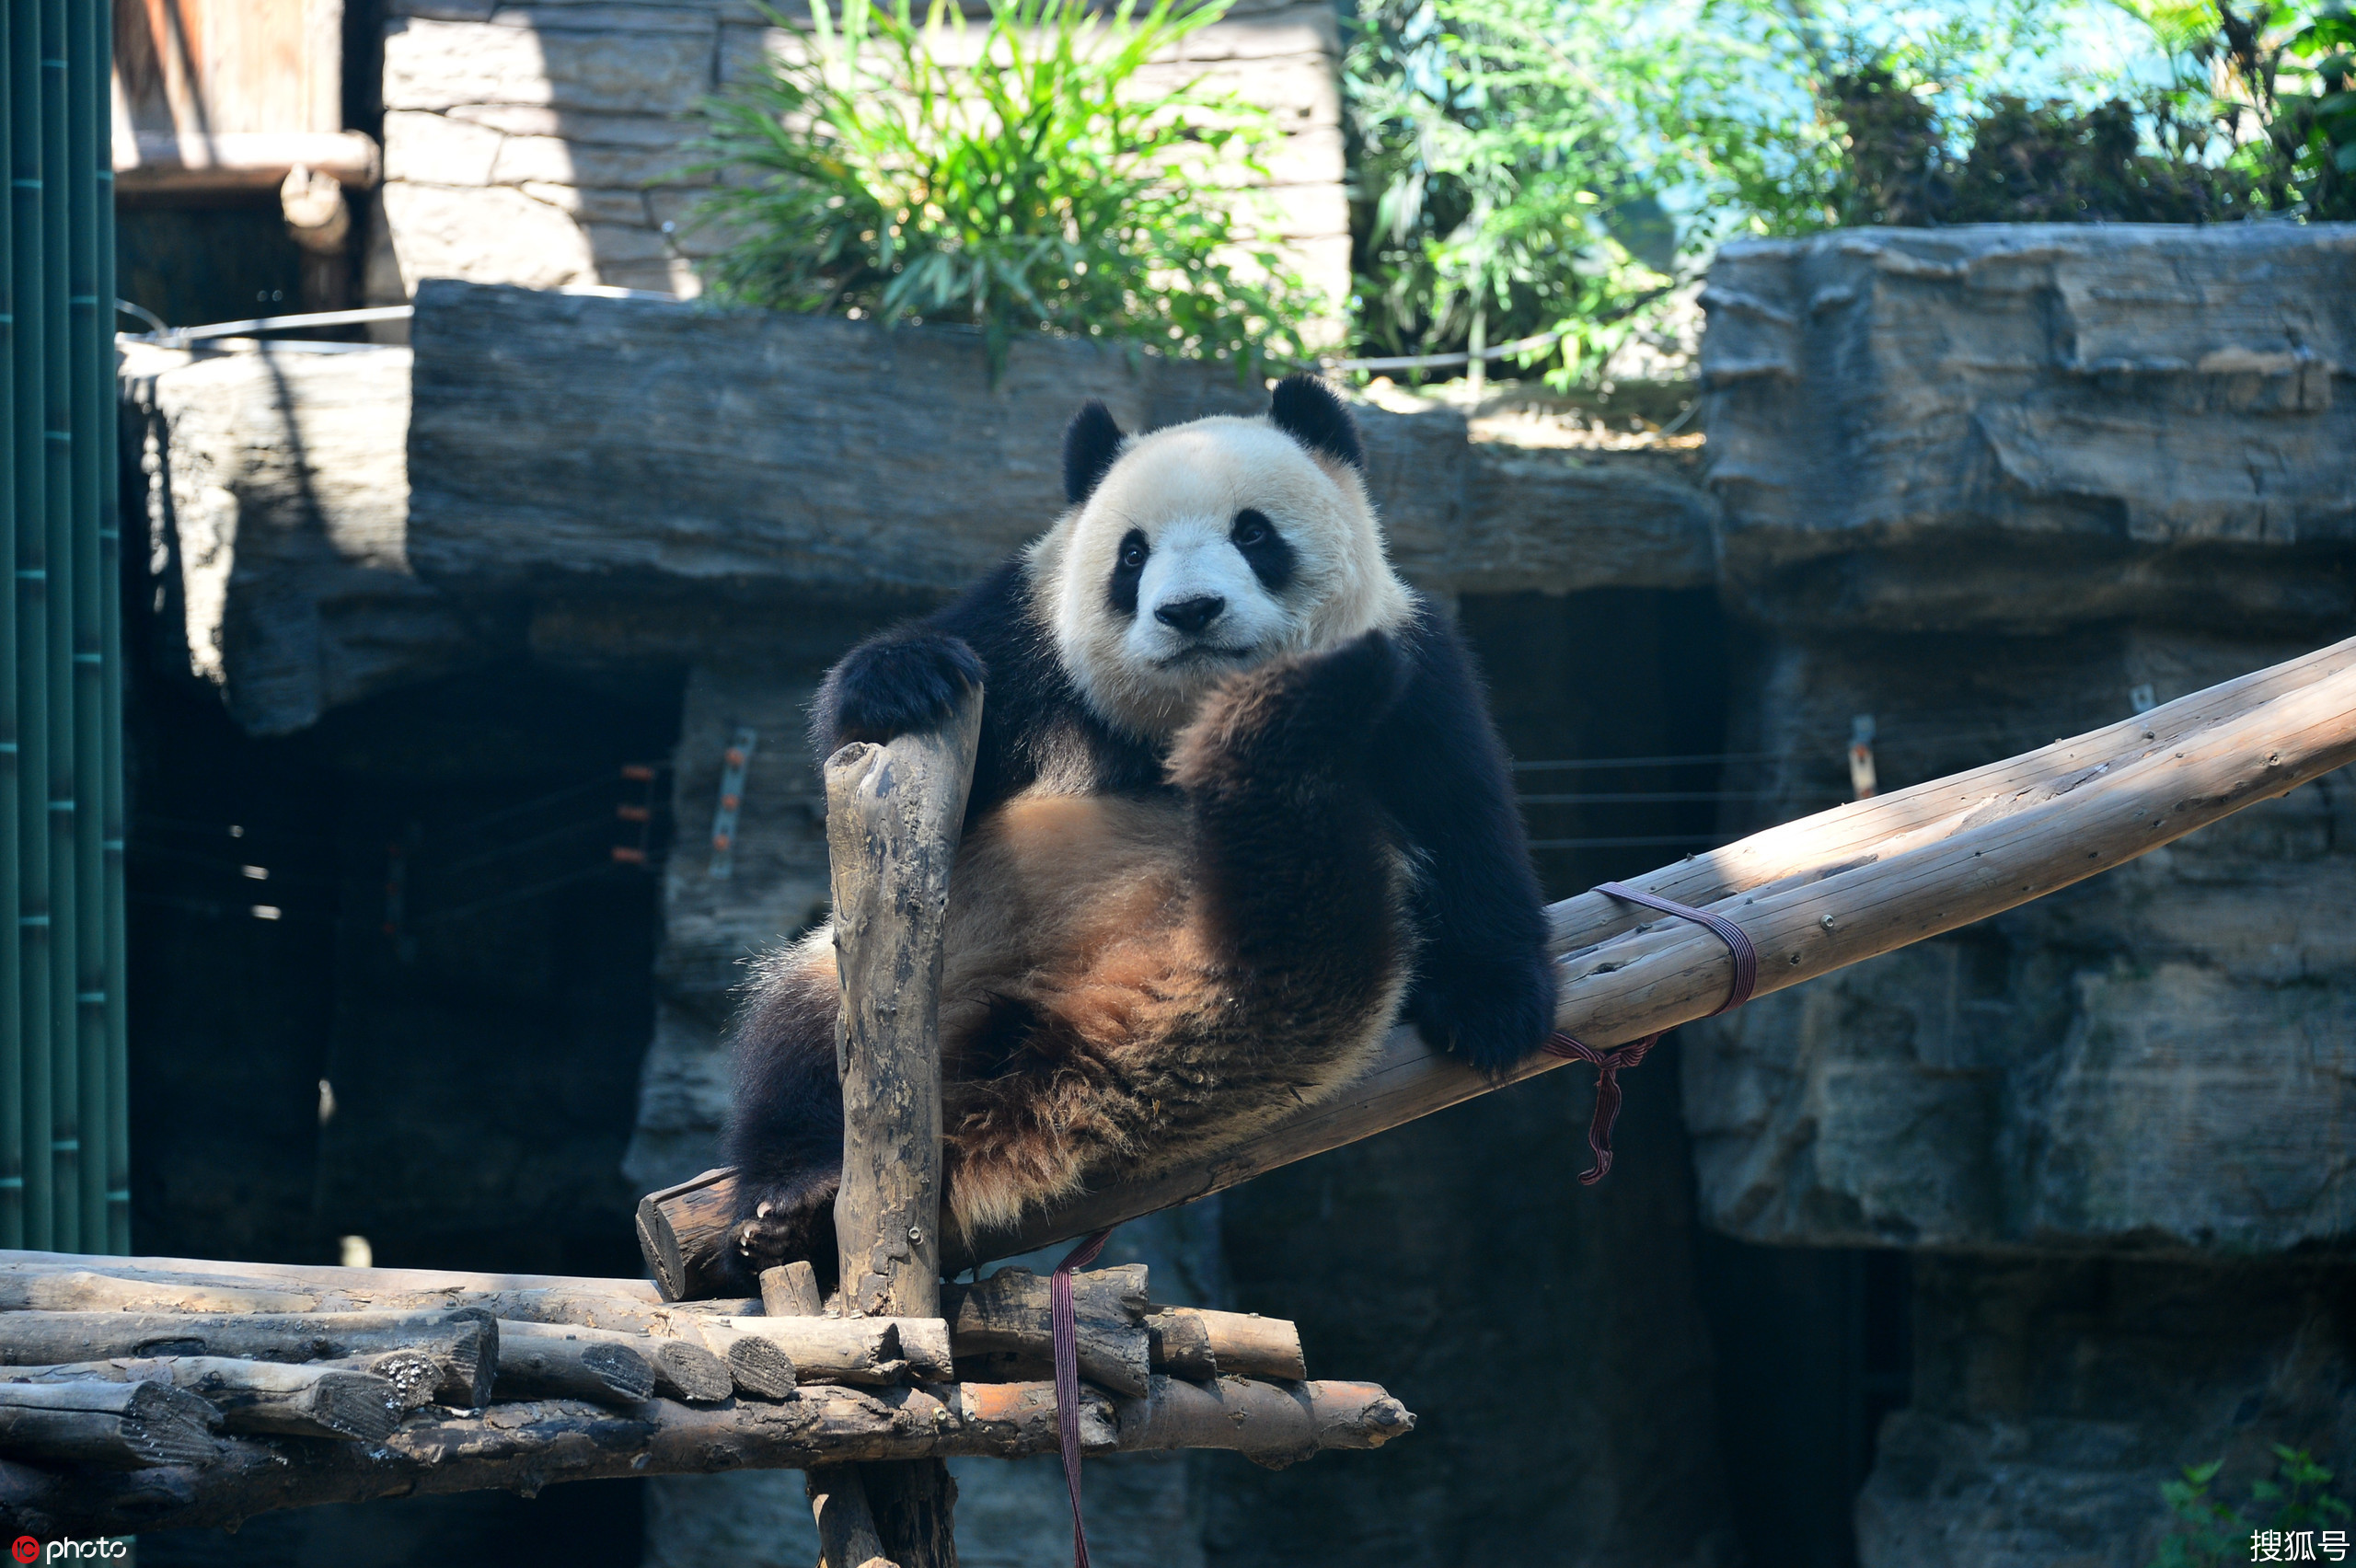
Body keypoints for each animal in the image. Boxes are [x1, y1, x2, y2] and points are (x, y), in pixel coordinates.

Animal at [725, 369, 1554, 1280]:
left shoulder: (1414, 673)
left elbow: (1463, 815)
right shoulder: (1027, 640)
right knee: (806, 1038)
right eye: (1132, 554)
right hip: (931, 971)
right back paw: (792, 1192)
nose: (1191, 611)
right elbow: (872, 726)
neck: (1189, 717)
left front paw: (1491, 1007)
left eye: (1253, 532)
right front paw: (908, 676)